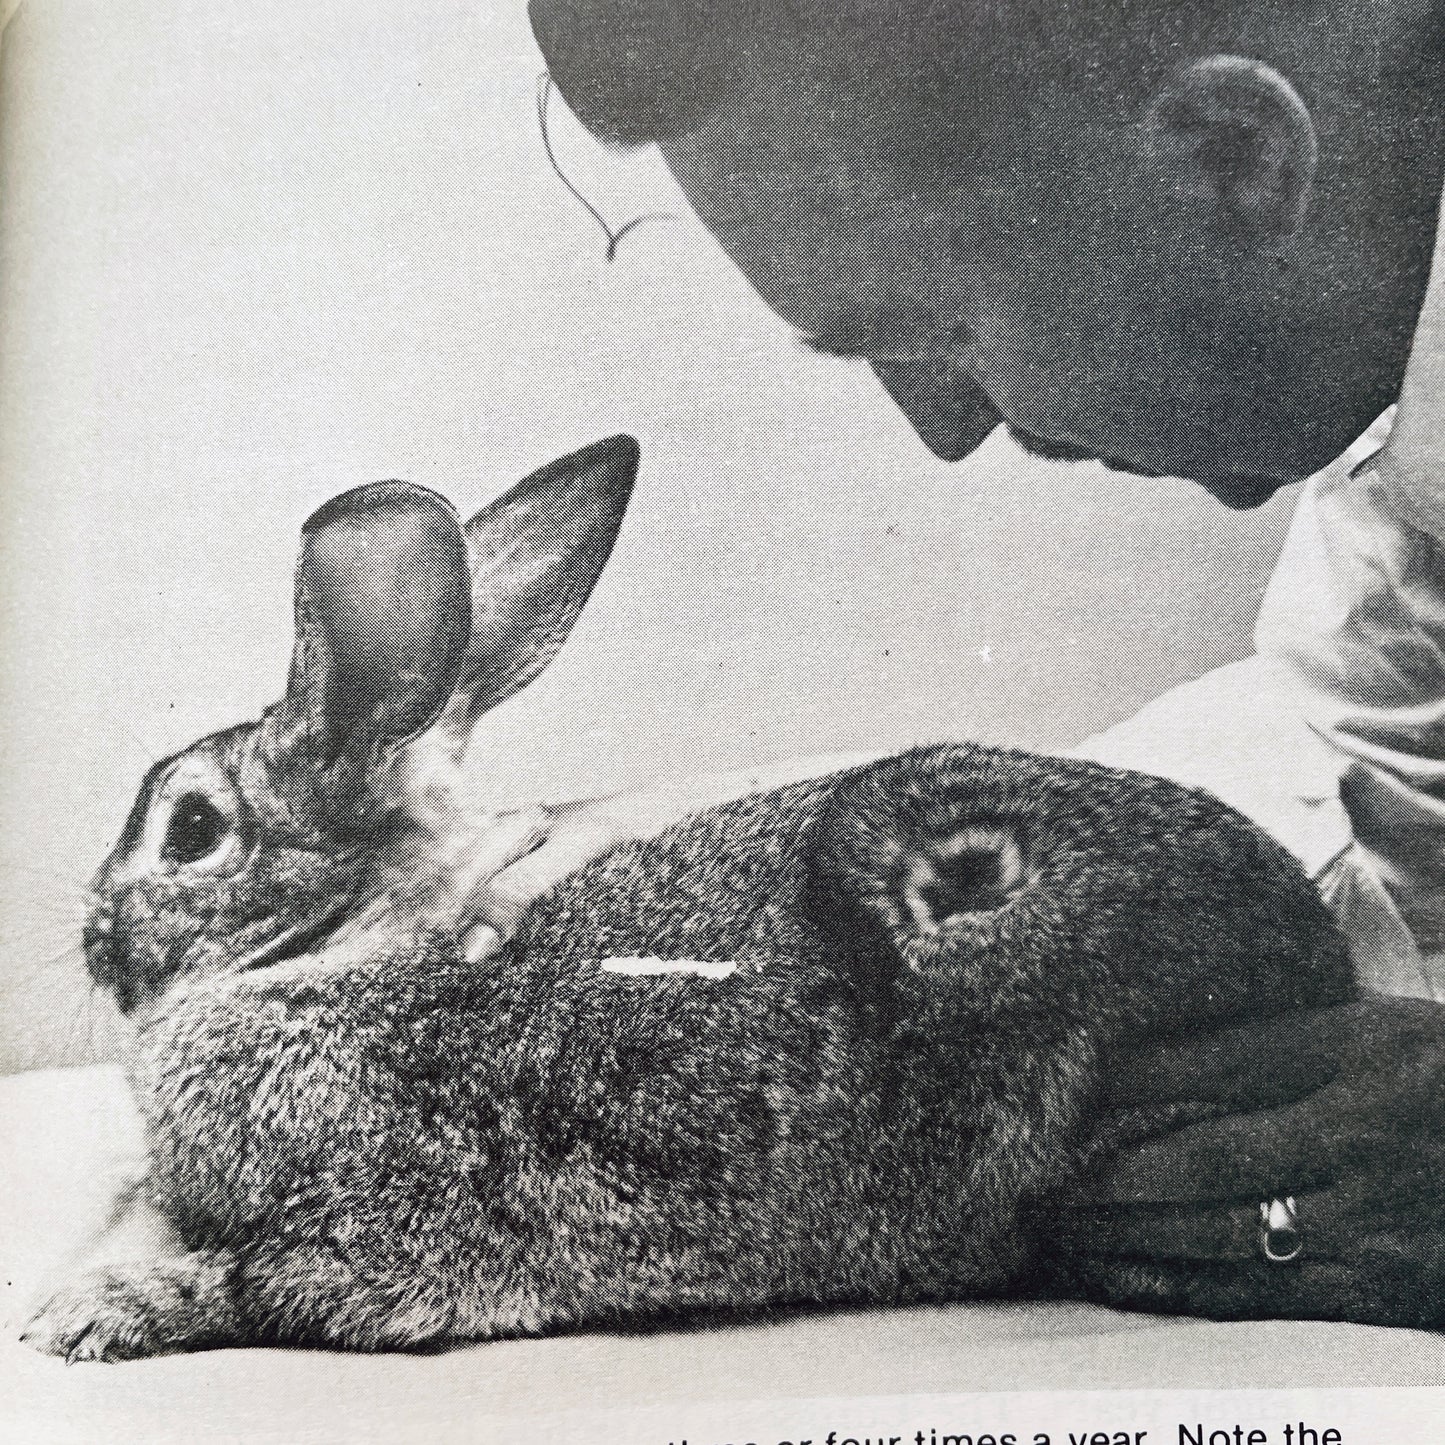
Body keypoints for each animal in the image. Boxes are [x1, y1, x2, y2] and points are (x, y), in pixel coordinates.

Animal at [22, 434, 1356, 1363]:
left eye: (191, 828)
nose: (91, 932)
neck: (346, 939)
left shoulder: (366, 1225)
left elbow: (249, 1279)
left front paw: (80, 1315)